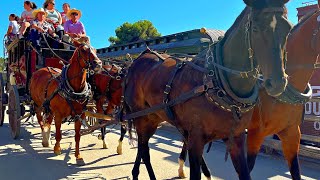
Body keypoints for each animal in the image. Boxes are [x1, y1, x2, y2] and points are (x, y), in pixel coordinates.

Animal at [123, 0, 292, 179]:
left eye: (288, 28)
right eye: (255, 28)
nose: (277, 83)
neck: (216, 82)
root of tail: (139, 59)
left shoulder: (237, 138)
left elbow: (245, 173)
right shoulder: (196, 140)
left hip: (153, 117)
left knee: (143, 148)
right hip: (141, 118)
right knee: (143, 149)